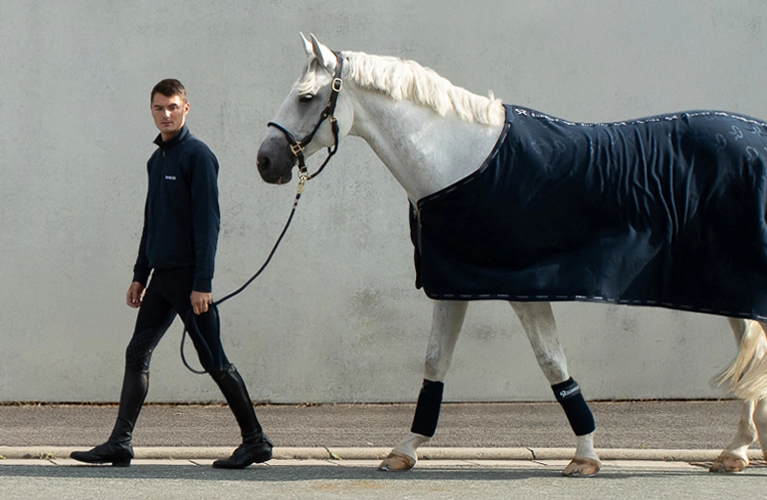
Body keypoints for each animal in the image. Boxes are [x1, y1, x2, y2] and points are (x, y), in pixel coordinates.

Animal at [256, 33, 767, 476]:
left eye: (305, 97)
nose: (265, 161)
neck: (462, 162)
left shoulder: (523, 289)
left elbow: (553, 364)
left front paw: (585, 456)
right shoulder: (453, 283)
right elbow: (435, 362)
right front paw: (405, 449)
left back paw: (736, 451)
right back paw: (738, 451)